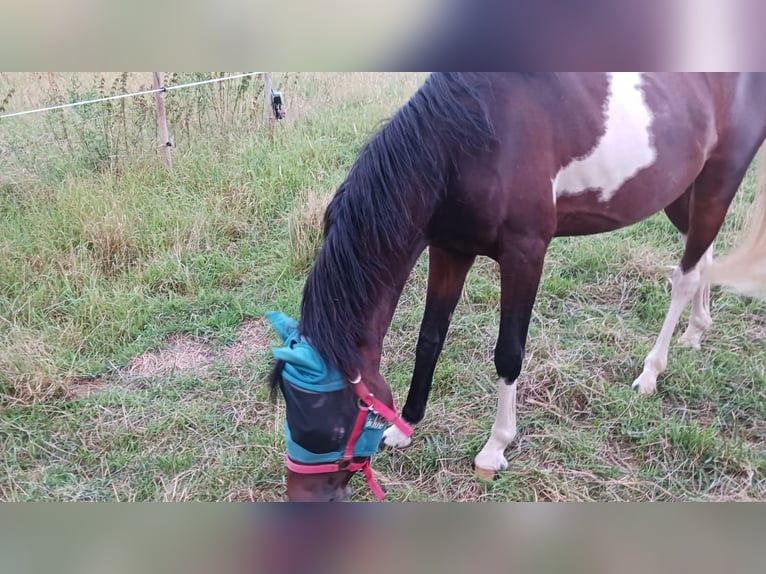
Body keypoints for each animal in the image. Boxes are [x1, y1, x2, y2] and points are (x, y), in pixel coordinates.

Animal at [268, 73, 766, 504]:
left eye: (332, 427)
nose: (303, 501)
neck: (469, 141)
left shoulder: (525, 255)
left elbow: (508, 353)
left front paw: (494, 450)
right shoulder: (450, 249)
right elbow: (430, 338)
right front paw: (406, 426)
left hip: (718, 182)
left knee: (685, 275)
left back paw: (651, 372)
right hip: (683, 192)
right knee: (703, 257)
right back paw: (696, 331)